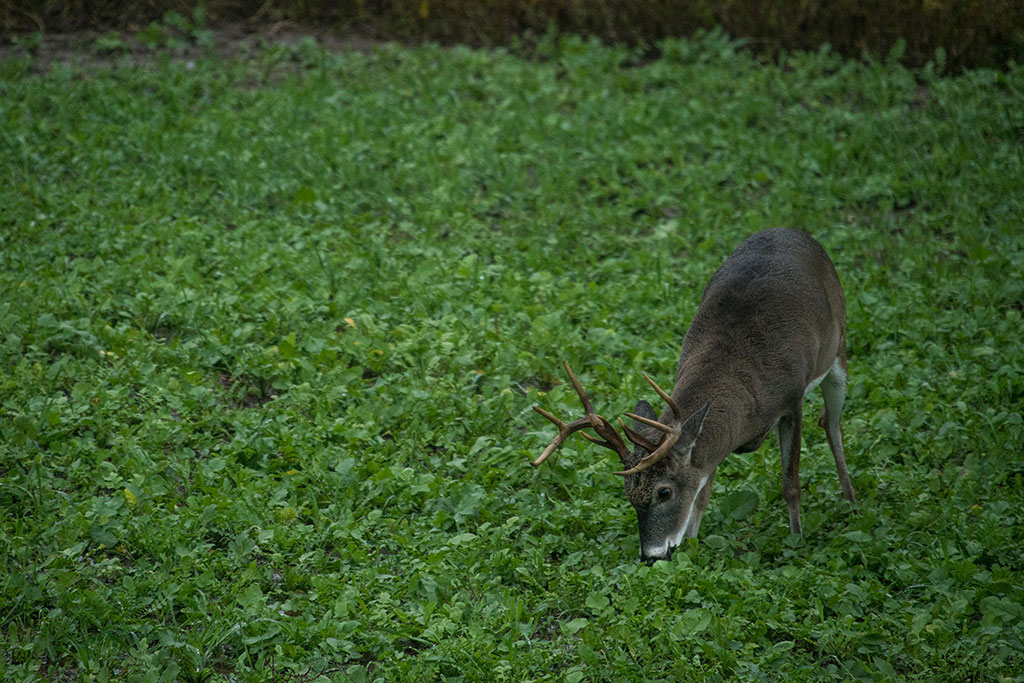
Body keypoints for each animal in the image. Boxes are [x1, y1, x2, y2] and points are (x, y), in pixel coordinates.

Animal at [536, 228, 856, 561]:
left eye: (664, 491)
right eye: (629, 495)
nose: (652, 556)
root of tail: (791, 230)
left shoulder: (792, 401)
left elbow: (790, 483)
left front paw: (797, 539)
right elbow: (702, 492)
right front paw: (691, 544)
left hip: (839, 348)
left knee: (833, 423)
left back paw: (851, 503)